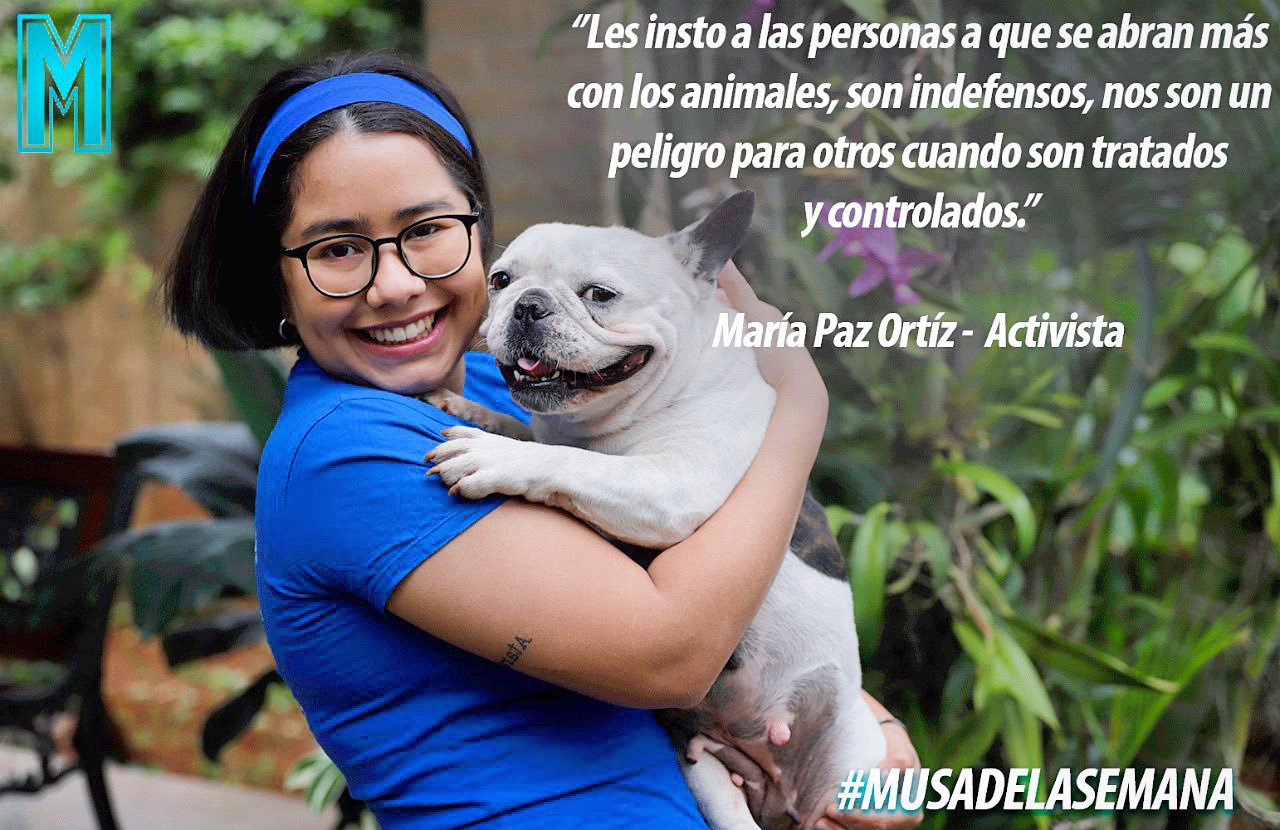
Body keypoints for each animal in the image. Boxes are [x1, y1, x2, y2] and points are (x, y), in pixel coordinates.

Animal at [424, 190, 885, 824]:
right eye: (501, 280)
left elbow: (568, 463)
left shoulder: (671, 486)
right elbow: (529, 430)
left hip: (855, 779)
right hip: (705, 769)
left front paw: (493, 453)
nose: (527, 305)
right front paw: (474, 411)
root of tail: (776, 782)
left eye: (599, 293)